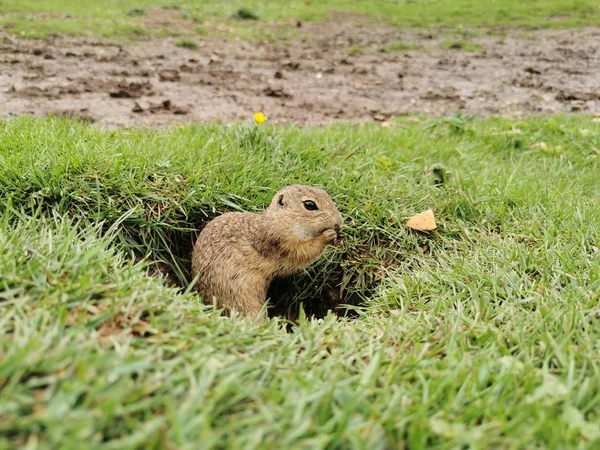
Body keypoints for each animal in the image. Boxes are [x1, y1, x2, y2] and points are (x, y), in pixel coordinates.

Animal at [191, 185, 342, 318]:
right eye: (310, 205)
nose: (340, 222)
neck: (281, 221)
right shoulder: (280, 242)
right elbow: (305, 251)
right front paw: (327, 236)